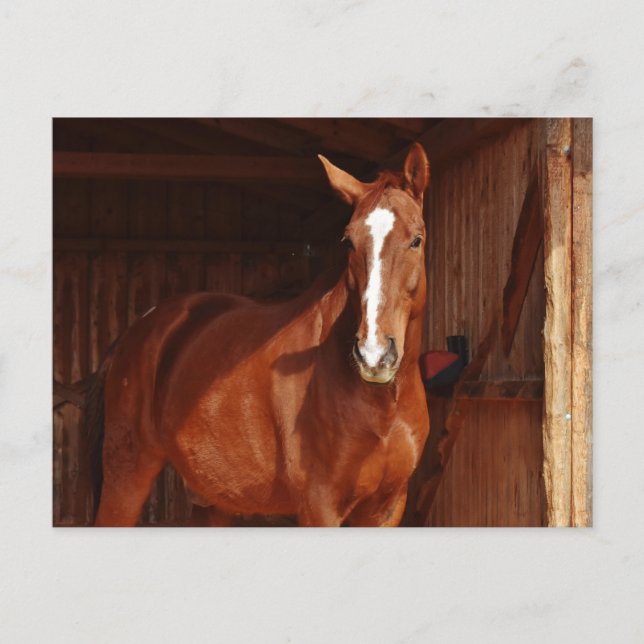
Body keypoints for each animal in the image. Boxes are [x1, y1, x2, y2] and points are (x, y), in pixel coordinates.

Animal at [85, 143, 431, 527]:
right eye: (348, 242)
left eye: (416, 240)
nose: (373, 354)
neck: (381, 405)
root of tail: (137, 330)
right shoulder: (319, 506)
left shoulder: (387, 508)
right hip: (126, 477)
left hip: (211, 501)